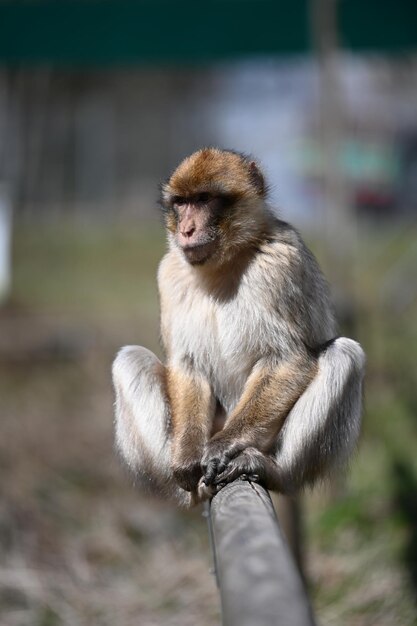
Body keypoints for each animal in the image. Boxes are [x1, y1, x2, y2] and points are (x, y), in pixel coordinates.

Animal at [111, 147, 364, 508]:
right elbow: (188, 364)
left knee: (344, 355)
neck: (223, 263)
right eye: (181, 203)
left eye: (204, 199)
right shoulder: (169, 272)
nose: (186, 229)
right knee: (130, 359)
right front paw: (187, 455)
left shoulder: (281, 264)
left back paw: (269, 469)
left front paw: (221, 447)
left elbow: (287, 359)